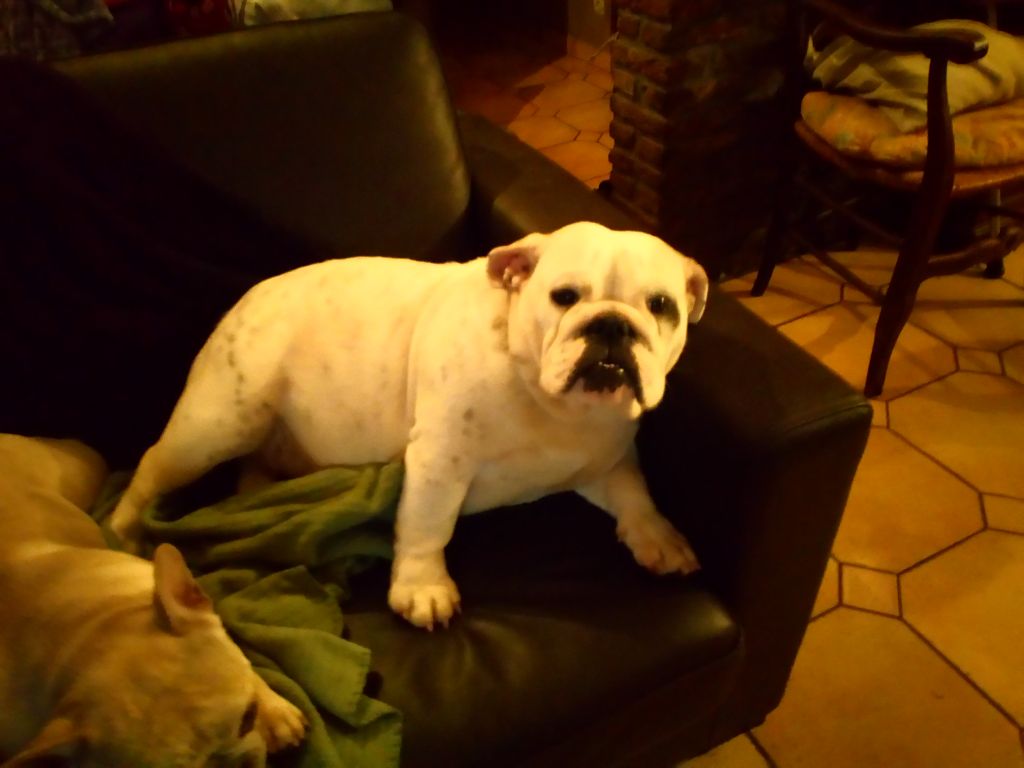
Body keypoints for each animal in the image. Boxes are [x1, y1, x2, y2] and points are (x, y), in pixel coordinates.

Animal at [110, 221, 710, 630]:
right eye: (564, 296)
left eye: (662, 305)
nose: (612, 324)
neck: (549, 401)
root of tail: (245, 299)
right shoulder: (439, 463)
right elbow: (427, 525)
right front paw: (423, 588)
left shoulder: (608, 460)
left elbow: (635, 492)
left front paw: (659, 536)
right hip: (216, 425)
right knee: (151, 469)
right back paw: (122, 531)